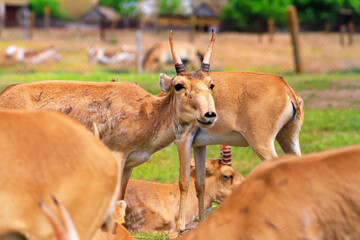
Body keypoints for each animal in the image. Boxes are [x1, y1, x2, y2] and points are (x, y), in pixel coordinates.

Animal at [0, 30, 218, 202]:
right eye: (179, 85)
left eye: (211, 84)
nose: (209, 114)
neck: (148, 112)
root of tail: (4, 94)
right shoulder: (116, 156)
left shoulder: (129, 165)